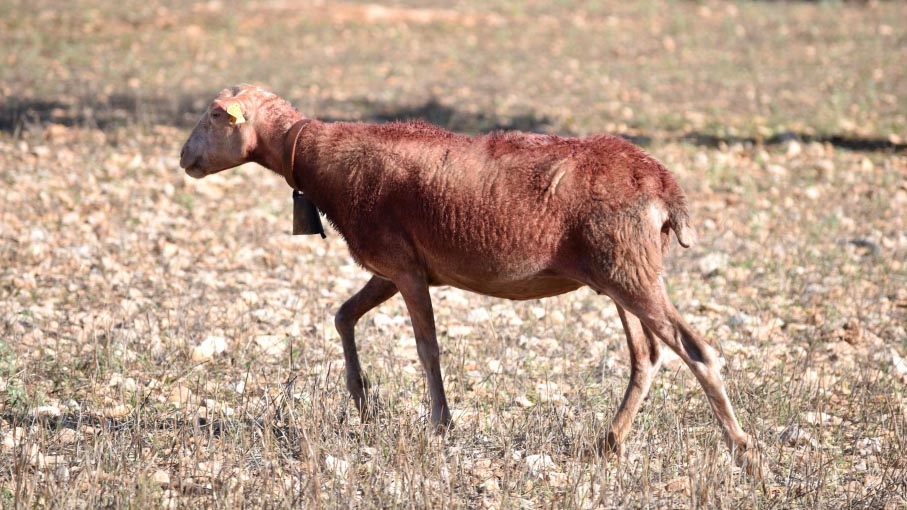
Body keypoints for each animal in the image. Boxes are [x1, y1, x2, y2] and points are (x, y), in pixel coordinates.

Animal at [179, 84, 762, 474]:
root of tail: (665, 186)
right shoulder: (396, 267)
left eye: (214, 115)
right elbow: (344, 316)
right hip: (624, 274)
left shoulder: (405, 267)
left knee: (694, 348)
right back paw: (610, 443)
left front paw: (440, 423)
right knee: (648, 356)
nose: (185, 158)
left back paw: (742, 448)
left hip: (632, 275)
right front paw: (363, 401)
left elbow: (427, 347)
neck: (322, 163)